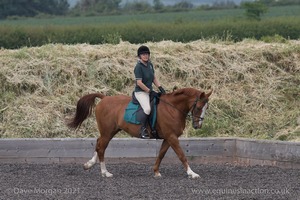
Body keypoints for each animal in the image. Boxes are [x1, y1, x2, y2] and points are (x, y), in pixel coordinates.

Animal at [67, 87, 213, 178]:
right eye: (198, 107)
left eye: (207, 108)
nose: (198, 125)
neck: (173, 108)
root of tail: (104, 98)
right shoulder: (172, 137)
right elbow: (181, 155)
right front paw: (192, 173)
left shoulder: (168, 137)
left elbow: (161, 154)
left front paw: (156, 172)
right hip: (107, 132)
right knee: (101, 148)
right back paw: (105, 172)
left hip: (110, 131)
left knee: (98, 144)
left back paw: (89, 164)